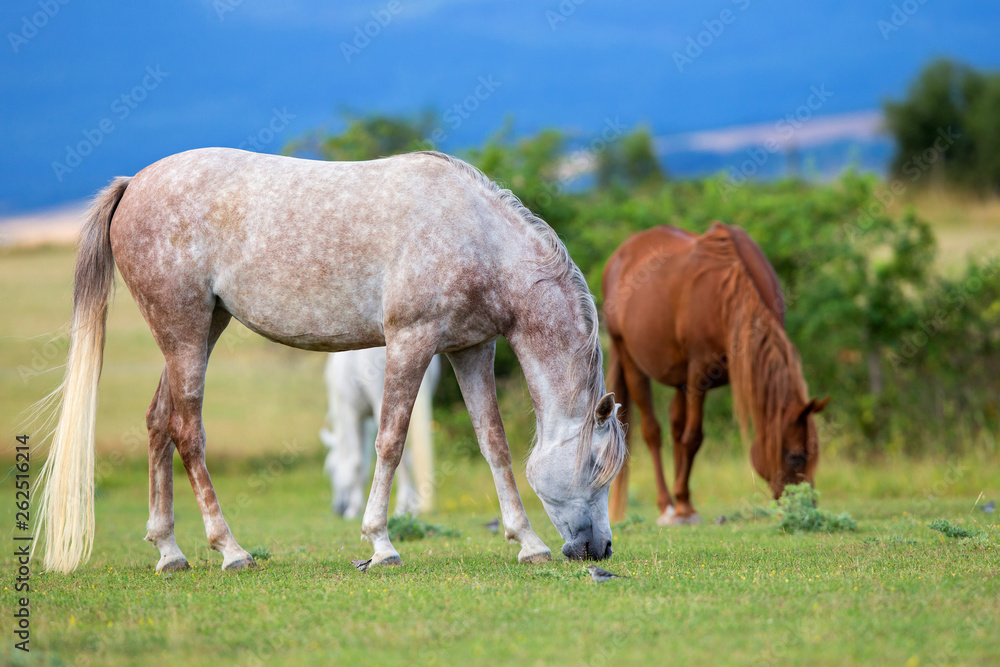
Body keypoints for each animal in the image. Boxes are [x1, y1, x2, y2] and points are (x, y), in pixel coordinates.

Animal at [320, 350, 442, 520]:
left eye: (330, 470)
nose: (338, 508)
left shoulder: (350, 412)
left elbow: (356, 461)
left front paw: (354, 508)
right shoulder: (368, 421)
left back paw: (402, 507)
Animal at [600, 224, 828, 528]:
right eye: (795, 457)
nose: (805, 507)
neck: (728, 294)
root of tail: (620, 255)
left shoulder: (694, 377)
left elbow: (684, 437)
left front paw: (686, 503)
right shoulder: (700, 371)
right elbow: (693, 438)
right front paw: (683, 507)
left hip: (679, 379)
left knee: (675, 427)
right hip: (630, 359)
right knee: (653, 432)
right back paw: (667, 507)